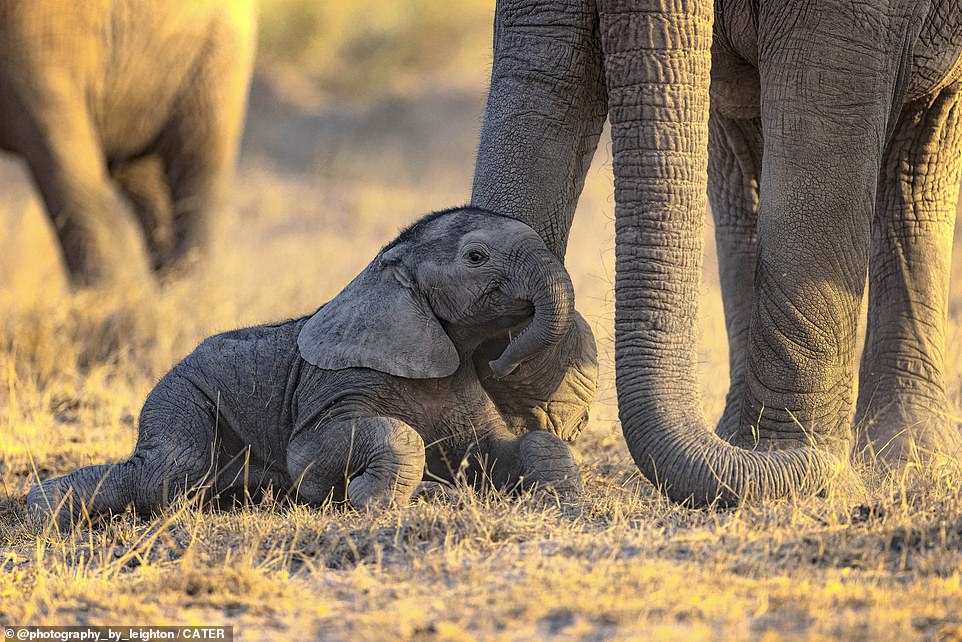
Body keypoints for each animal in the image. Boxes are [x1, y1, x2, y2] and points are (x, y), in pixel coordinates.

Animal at [28, 206, 592, 524]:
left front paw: (561, 499)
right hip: (182, 394)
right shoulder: (336, 385)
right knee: (169, 475)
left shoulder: (459, 385)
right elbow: (315, 454)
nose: (506, 360)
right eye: (476, 258)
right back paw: (41, 512)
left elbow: (504, 448)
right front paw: (369, 500)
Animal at [468, 0, 960, 504]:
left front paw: (817, 480)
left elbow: (823, 104)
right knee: (744, 149)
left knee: (922, 143)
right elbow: (543, 65)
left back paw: (905, 459)